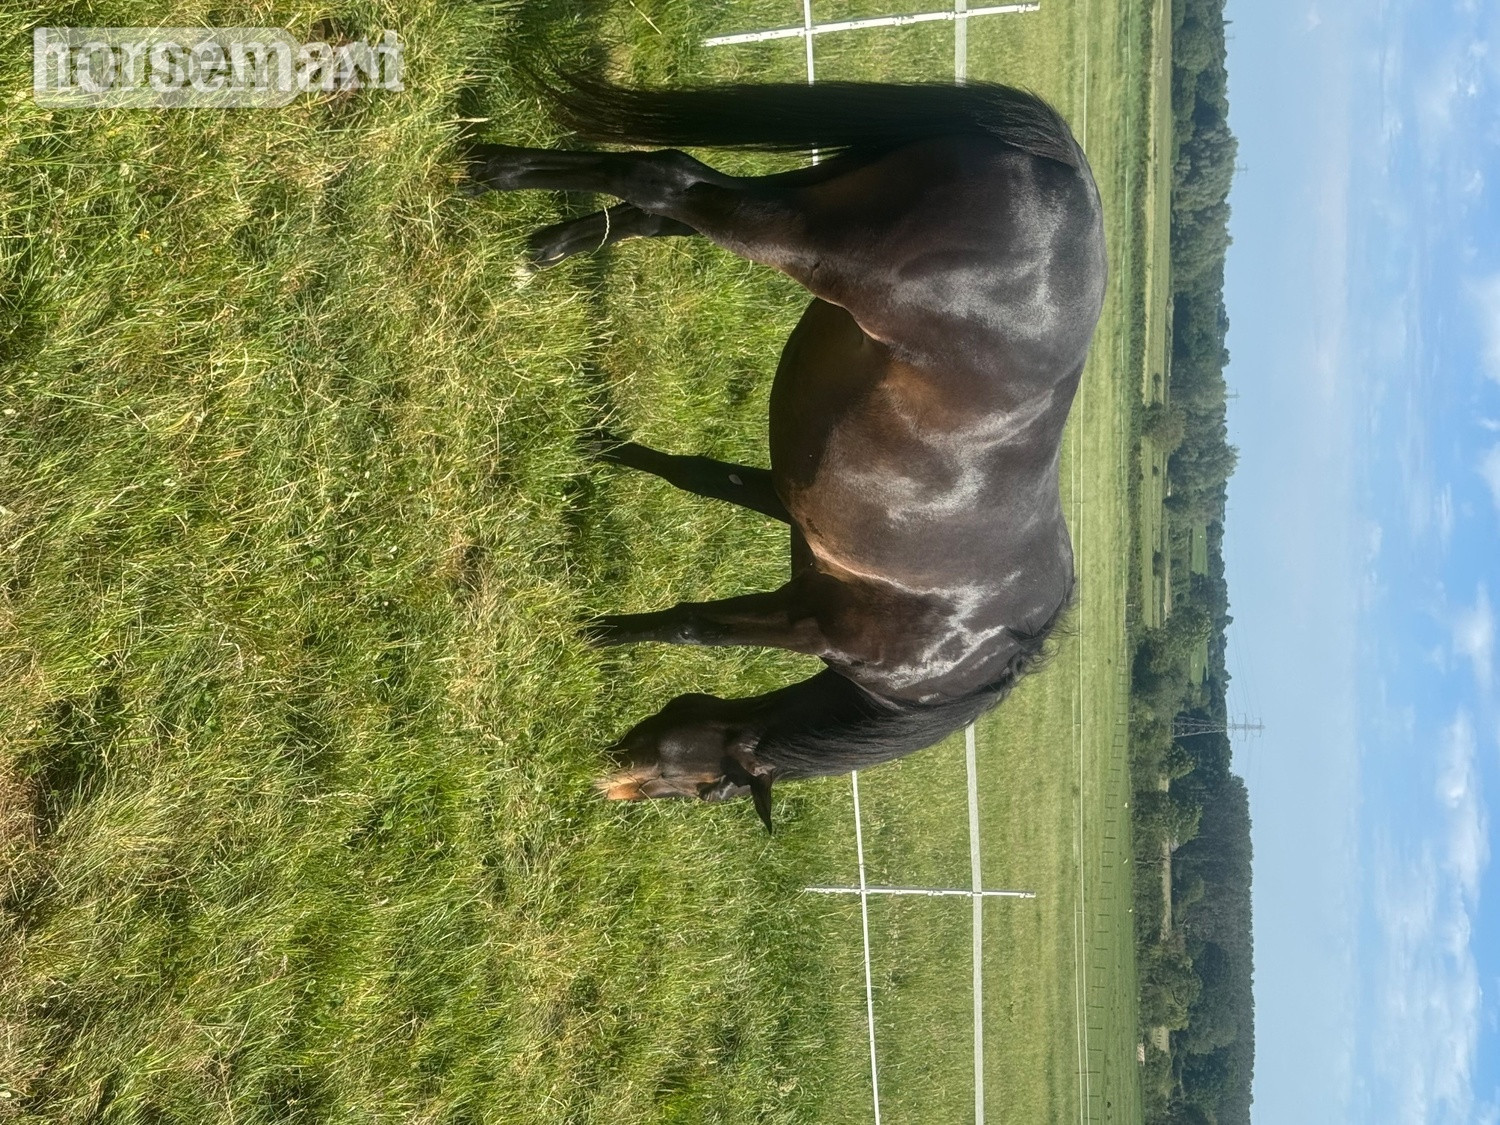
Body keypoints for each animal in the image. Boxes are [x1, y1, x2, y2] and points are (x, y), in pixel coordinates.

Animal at [468, 75, 1106, 830]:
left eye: (702, 789)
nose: (610, 783)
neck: (953, 657)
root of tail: (1065, 172)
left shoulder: (790, 523)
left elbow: (693, 492)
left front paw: (598, 451)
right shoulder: (811, 623)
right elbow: (695, 626)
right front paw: (598, 630)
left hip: (820, 189)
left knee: (670, 202)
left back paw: (541, 234)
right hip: (806, 238)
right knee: (668, 183)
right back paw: (492, 172)